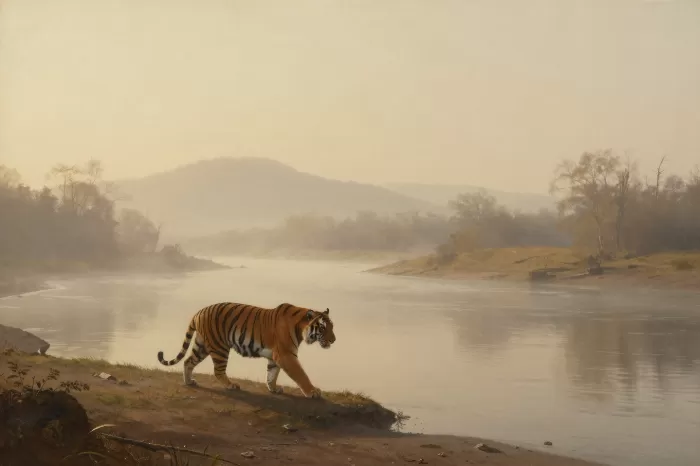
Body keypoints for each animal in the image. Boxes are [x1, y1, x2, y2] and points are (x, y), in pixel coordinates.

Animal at [157, 302, 335, 399]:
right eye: (323, 328)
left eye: (332, 326)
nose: (333, 340)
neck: (300, 328)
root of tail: (198, 312)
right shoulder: (287, 355)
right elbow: (301, 375)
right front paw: (313, 392)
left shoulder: (276, 357)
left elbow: (272, 374)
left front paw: (274, 389)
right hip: (219, 347)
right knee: (218, 370)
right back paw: (231, 385)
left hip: (201, 345)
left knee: (188, 361)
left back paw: (189, 381)